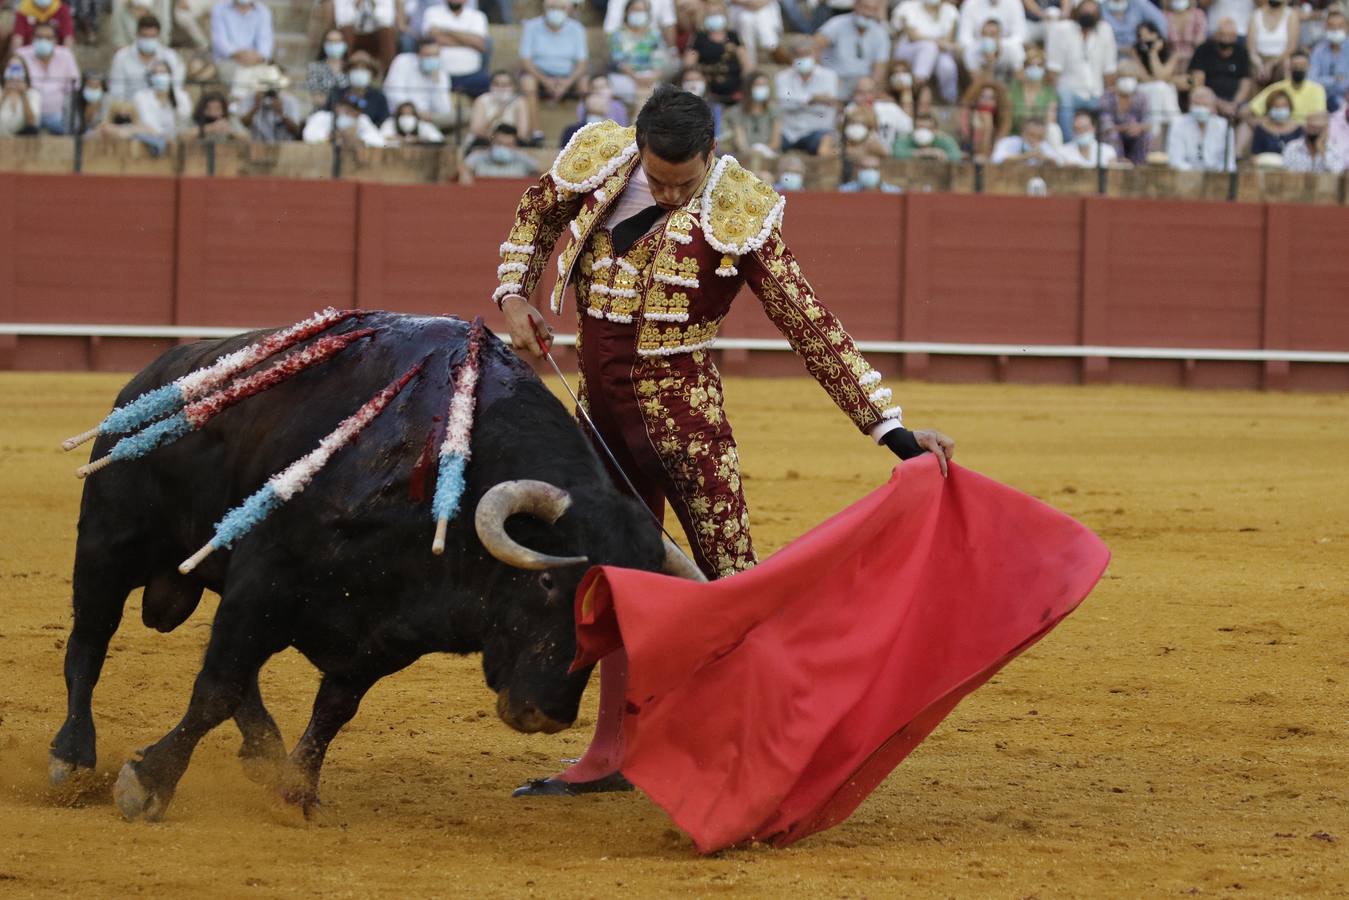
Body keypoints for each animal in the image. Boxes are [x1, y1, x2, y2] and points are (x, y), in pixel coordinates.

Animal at [49, 313, 685, 820]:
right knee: (90, 641)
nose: (547, 715)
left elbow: (332, 708)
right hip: (108, 545)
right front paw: (148, 785)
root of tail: (150, 377)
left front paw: (298, 793)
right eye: (549, 579)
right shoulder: (265, 583)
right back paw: (72, 759)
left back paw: (264, 751)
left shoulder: (386, 631)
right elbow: (215, 689)